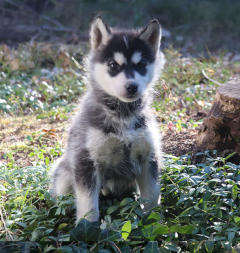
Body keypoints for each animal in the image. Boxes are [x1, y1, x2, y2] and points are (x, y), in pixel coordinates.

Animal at [49, 16, 164, 221]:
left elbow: (152, 195)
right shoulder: (86, 160)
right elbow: (87, 202)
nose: (132, 86)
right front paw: (87, 225)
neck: (122, 115)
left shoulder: (148, 157)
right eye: (113, 65)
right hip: (65, 174)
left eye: (141, 65)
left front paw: (153, 219)